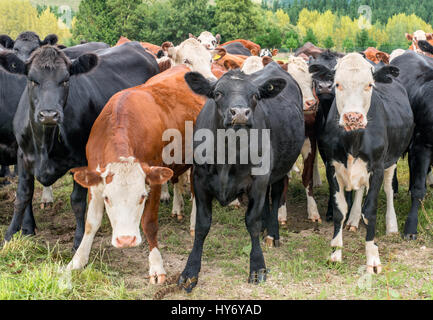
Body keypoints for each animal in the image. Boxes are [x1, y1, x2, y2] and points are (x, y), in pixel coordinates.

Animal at [0, 41, 159, 249]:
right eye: (32, 80)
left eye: (65, 80)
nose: (49, 114)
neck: (45, 145)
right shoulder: (23, 157)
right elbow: (22, 196)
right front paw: (10, 236)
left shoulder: (81, 159)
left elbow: (77, 201)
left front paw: (79, 240)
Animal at [67, 65, 206, 282]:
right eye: (107, 198)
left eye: (142, 197)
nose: (126, 240)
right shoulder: (96, 184)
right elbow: (91, 223)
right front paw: (77, 260)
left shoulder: (154, 182)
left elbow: (149, 223)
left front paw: (156, 266)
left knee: (195, 191)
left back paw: (193, 222)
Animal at [176, 61, 304, 292]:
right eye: (217, 93)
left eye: (255, 95)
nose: (240, 114)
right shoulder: (199, 180)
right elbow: (202, 225)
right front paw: (190, 272)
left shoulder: (259, 181)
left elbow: (251, 221)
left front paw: (258, 266)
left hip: (282, 167)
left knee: (276, 194)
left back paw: (272, 233)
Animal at [318, 53, 414, 274]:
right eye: (337, 84)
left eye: (369, 85)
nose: (353, 117)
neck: (353, 140)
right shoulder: (331, 167)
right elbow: (340, 210)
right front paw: (336, 253)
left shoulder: (377, 167)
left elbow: (370, 210)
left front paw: (372, 258)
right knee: (360, 189)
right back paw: (353, 220)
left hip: (391, 160)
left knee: (388, 189)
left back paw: (392, 225)